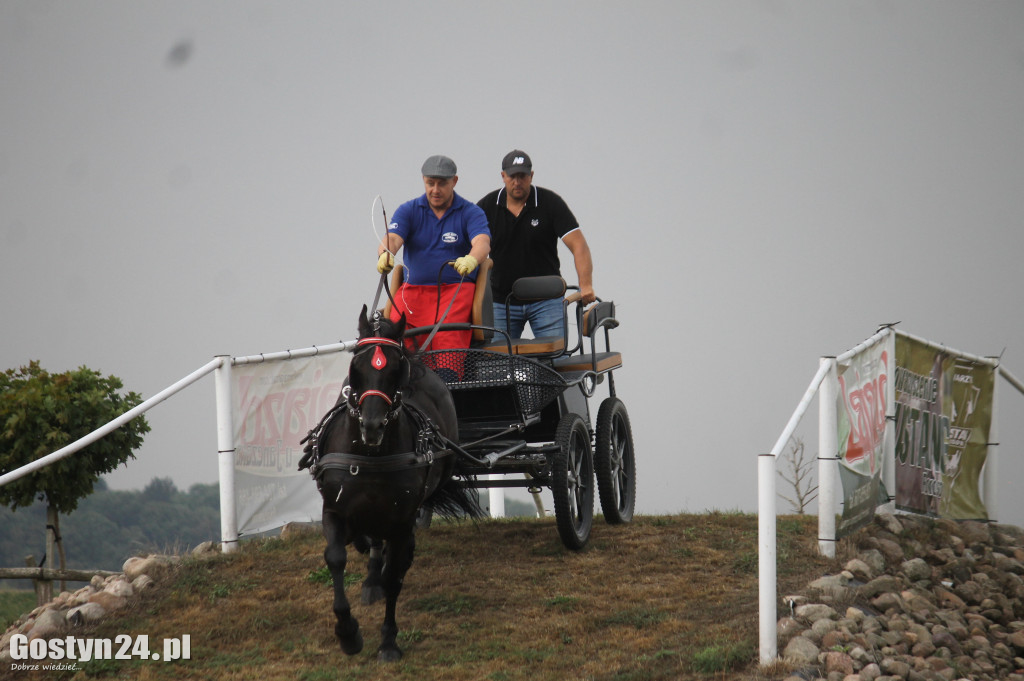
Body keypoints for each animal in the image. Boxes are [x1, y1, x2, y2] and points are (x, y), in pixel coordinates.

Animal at [299, 307, 479, 659]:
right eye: (356, 366)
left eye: (395, 368)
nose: (372, 425)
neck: (371, 453)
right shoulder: (334, 510)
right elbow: (336, 557)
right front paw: (348, 633)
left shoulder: (400, 519)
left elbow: (395, 575)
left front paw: (388, 641)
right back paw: (370, 577)